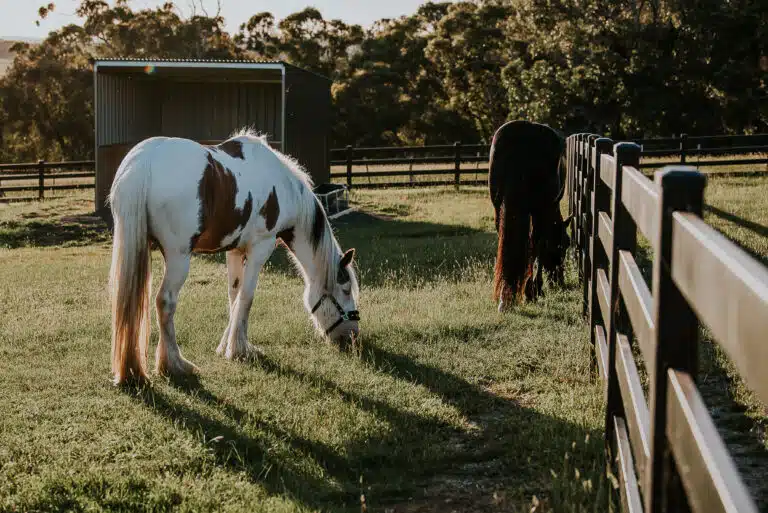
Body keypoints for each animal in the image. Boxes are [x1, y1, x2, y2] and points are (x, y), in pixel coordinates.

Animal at [108, 128, 360, 386]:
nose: (352, 336)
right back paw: (175, 364)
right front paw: (240, 349)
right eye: (346, 289)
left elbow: (234, 295)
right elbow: (247, 297)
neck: (284, 187)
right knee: (165, 302)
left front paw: (225, 346)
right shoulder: (260, 248)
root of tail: (144, 162)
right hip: (178, 257)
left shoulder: (235, 251)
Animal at [488, 120, 572, 311]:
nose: (559, 281)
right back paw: (529, 291)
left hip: (499, 209)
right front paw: (536, 289)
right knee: (535, 243)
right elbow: (540, 247)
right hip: (540, 211)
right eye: (564, 245)